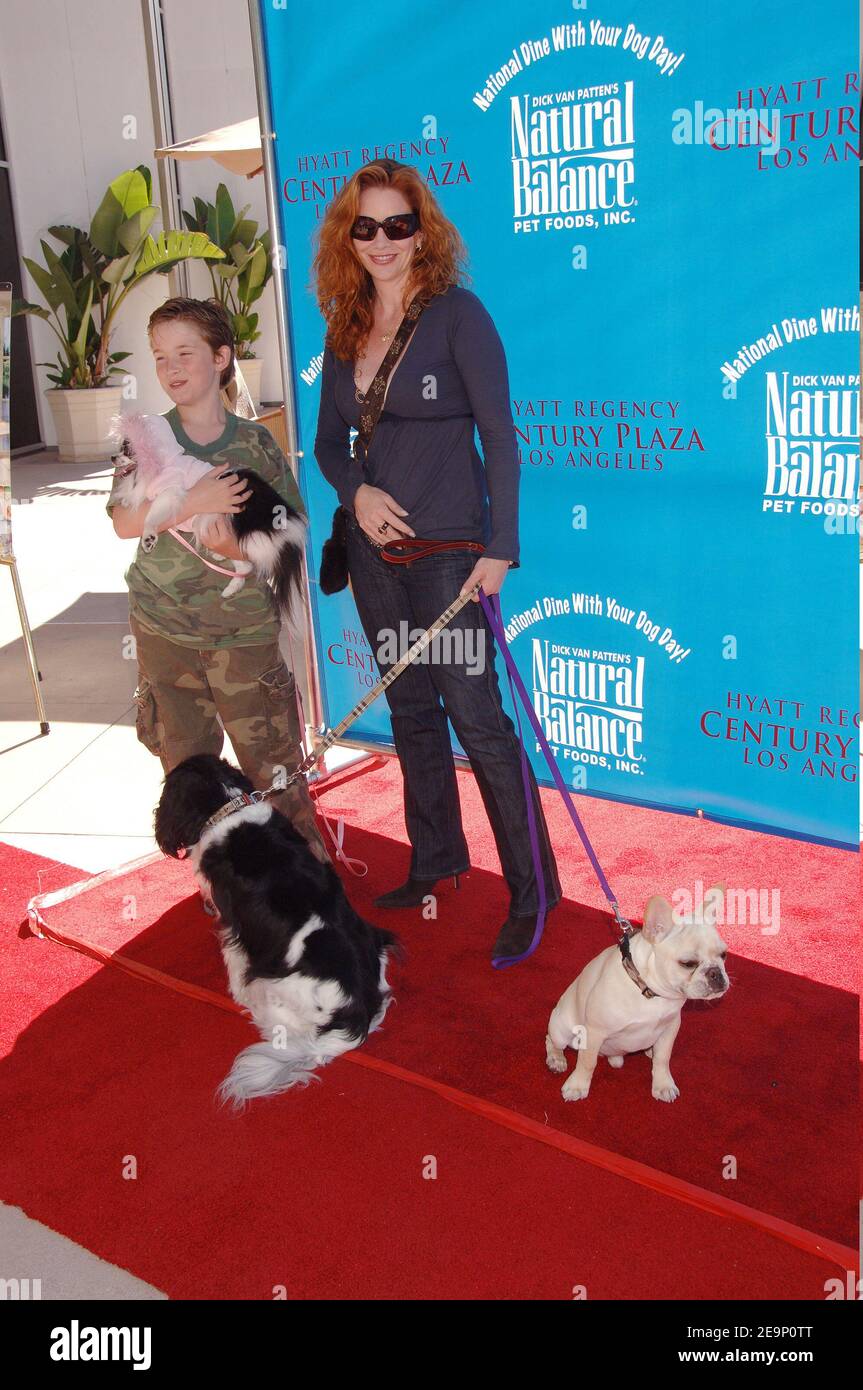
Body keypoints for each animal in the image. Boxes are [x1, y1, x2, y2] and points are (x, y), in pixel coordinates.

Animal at [154, 756, 397, 1100]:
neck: (229, 804)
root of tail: (355, 1015)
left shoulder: (232, 924)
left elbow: (233, 957)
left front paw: (235, 990)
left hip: (274, 987)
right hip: (378, 943)